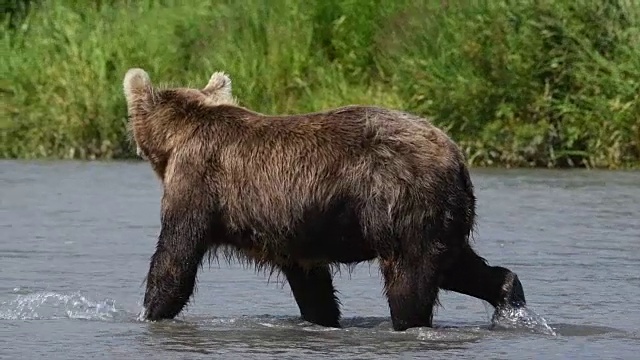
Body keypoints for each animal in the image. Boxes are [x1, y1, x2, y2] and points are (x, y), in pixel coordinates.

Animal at [120, 67, 524, 332]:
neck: (176, 141)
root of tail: (457, 158)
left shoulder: (198, 183)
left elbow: (176, 257)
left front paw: (147, 312)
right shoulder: (290, 227)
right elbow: (311, 284)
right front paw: (323, 318)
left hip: (402, 201)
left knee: (410, 278)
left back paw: (410, 322)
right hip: (443, 214)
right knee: (460, 266)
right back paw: (509, 296)